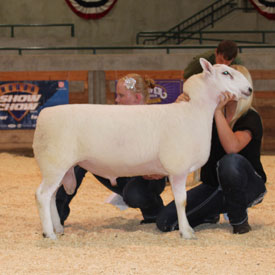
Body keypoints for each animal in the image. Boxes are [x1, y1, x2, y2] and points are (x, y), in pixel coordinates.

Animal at [33, 58, 252, 242]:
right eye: (225, 73)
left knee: (51, 196)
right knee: (42, 195)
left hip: (57, 168)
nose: (250, 89)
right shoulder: (178, 168)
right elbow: (182, 201)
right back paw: (49, 234)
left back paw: (57, 228)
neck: (193, 112)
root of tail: (43, 115)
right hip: (54, 164)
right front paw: (186, 232)